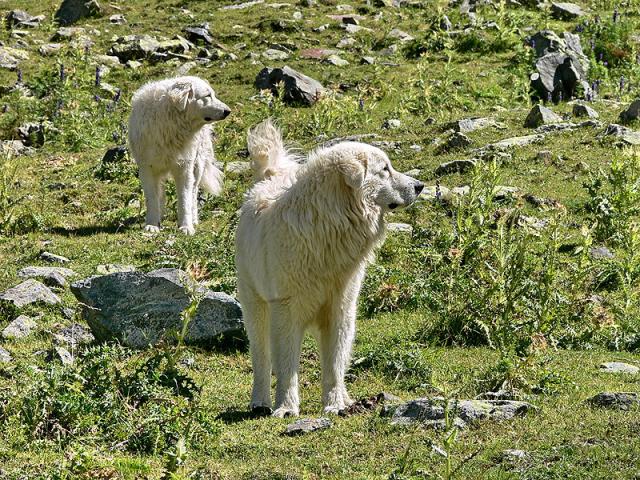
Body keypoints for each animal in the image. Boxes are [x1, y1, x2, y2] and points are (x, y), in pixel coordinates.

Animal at [127, 75, 230, 234]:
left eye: (212, 94)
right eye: (207, 96)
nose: (228, 111)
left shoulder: (184, 168)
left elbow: (184, 199)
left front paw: (186, 226)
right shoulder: (147, 169)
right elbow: (152, 198)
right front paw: (152, 224)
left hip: (197, 166)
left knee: (193, 192)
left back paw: (194, 219)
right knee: (161, 194)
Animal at [236, 120, 424, 416]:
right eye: (385, 169)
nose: (420, 185)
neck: (327, 224)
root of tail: (269, 178)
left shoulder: (341, 305)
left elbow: (336, 359)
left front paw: (335, 404)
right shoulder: (285, 308)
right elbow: (287, 364)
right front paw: (286, 407)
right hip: (254, 300)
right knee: (261, 355)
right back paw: (260, 401)